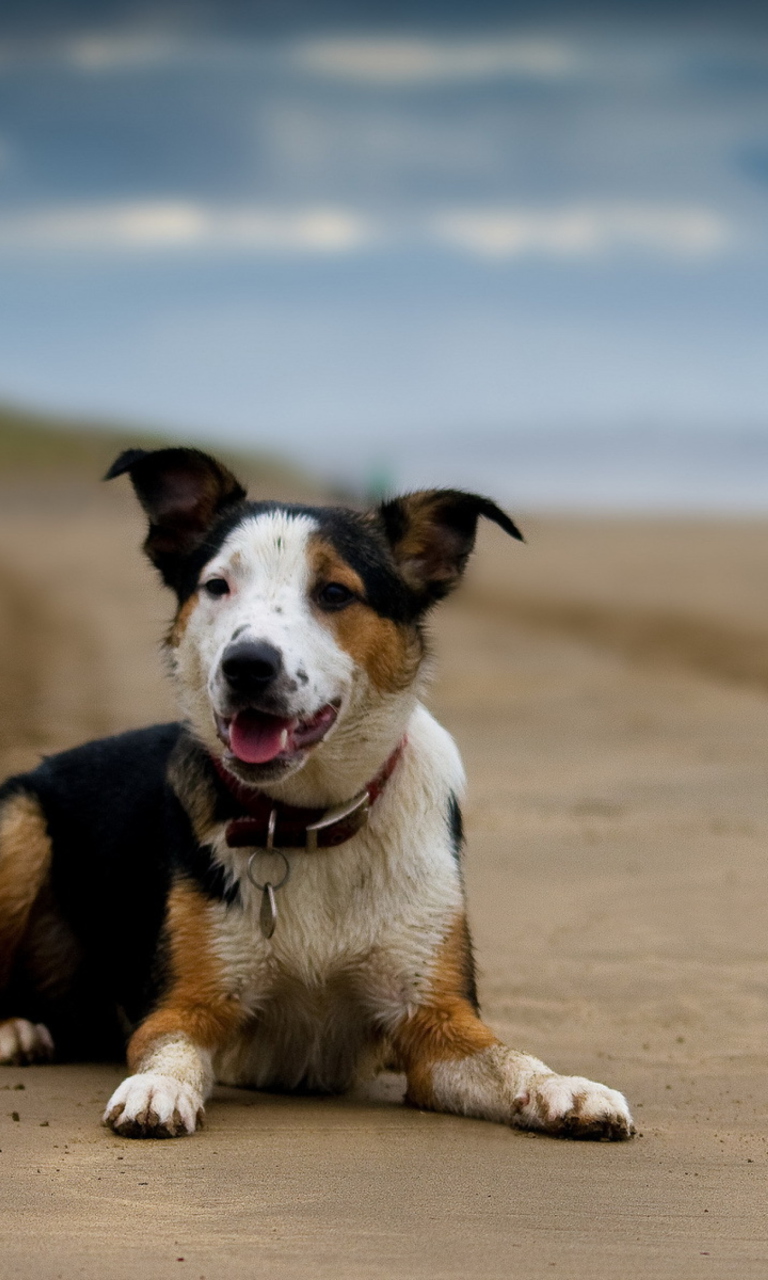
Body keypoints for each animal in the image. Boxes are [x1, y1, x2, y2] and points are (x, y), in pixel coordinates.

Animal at [0, 448, 634, 1141]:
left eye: (334, 593)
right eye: (217, 587)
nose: (247, 665)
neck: (304, 818)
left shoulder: (436, 1022)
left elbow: (510, 1058)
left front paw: (566, 1087)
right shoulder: (183, 1004)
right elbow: (171, 1050)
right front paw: (156, 1087)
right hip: (19, 821)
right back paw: (16, 1030)